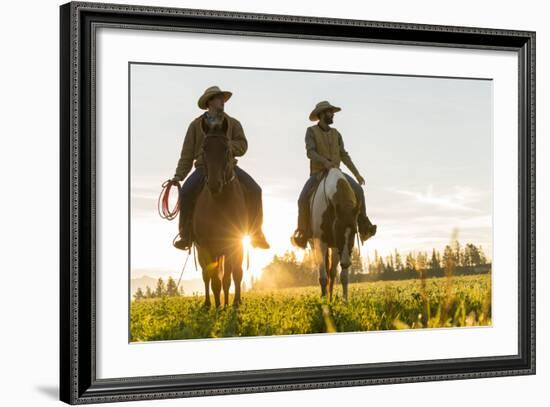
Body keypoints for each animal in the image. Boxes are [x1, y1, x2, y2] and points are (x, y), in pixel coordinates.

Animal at [192, 119, 248, 308]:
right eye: (204, 148)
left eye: (226, 148)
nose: (214, 184)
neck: (220, 203)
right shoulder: (207, 247)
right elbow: (215, 279)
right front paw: (218, 307)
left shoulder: (234, 243)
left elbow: (232, 275)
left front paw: (234, 303)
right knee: (206, 276)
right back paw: (209, 304)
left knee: (231, 274)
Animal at [310, 167, 362, 302]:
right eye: (337, 230)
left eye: (355, 232)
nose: (346, 263)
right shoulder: (321, 242)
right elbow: (323, 277)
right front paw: (323, 301)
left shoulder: (340, 248)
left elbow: (342, 276)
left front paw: (345, 300)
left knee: (332, 272)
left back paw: (330, 297)